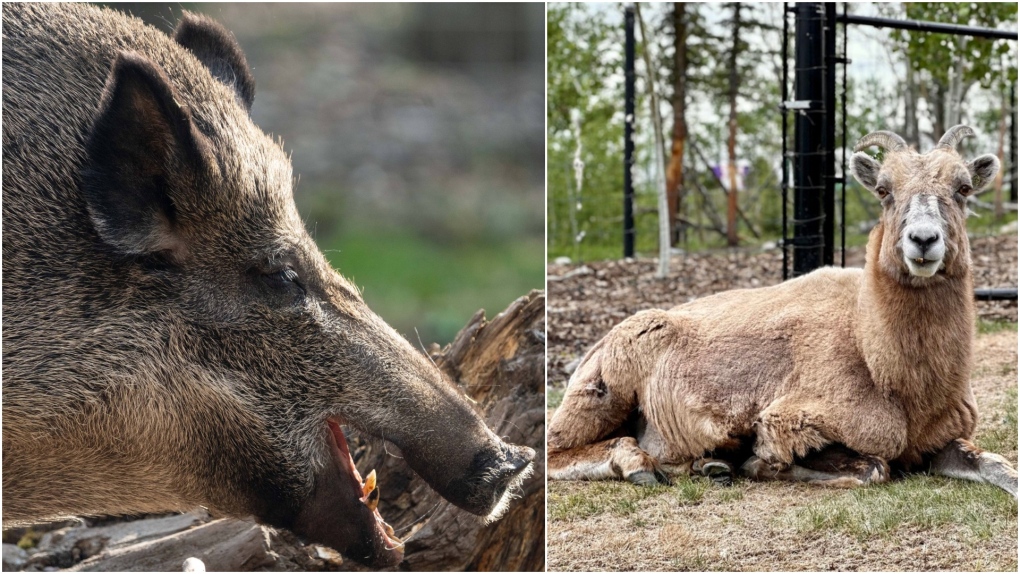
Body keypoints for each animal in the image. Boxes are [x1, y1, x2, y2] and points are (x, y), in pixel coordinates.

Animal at [554, 126, 1015, 499]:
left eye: (963, 188)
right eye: (884, 190)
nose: (923, 241)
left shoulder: (939, 442)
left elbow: (997, 464)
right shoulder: (789, 422)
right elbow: (873, 468)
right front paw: (752, 464)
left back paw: (707, 465)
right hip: (602, 397)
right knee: (560, 451)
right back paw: (642, 466)